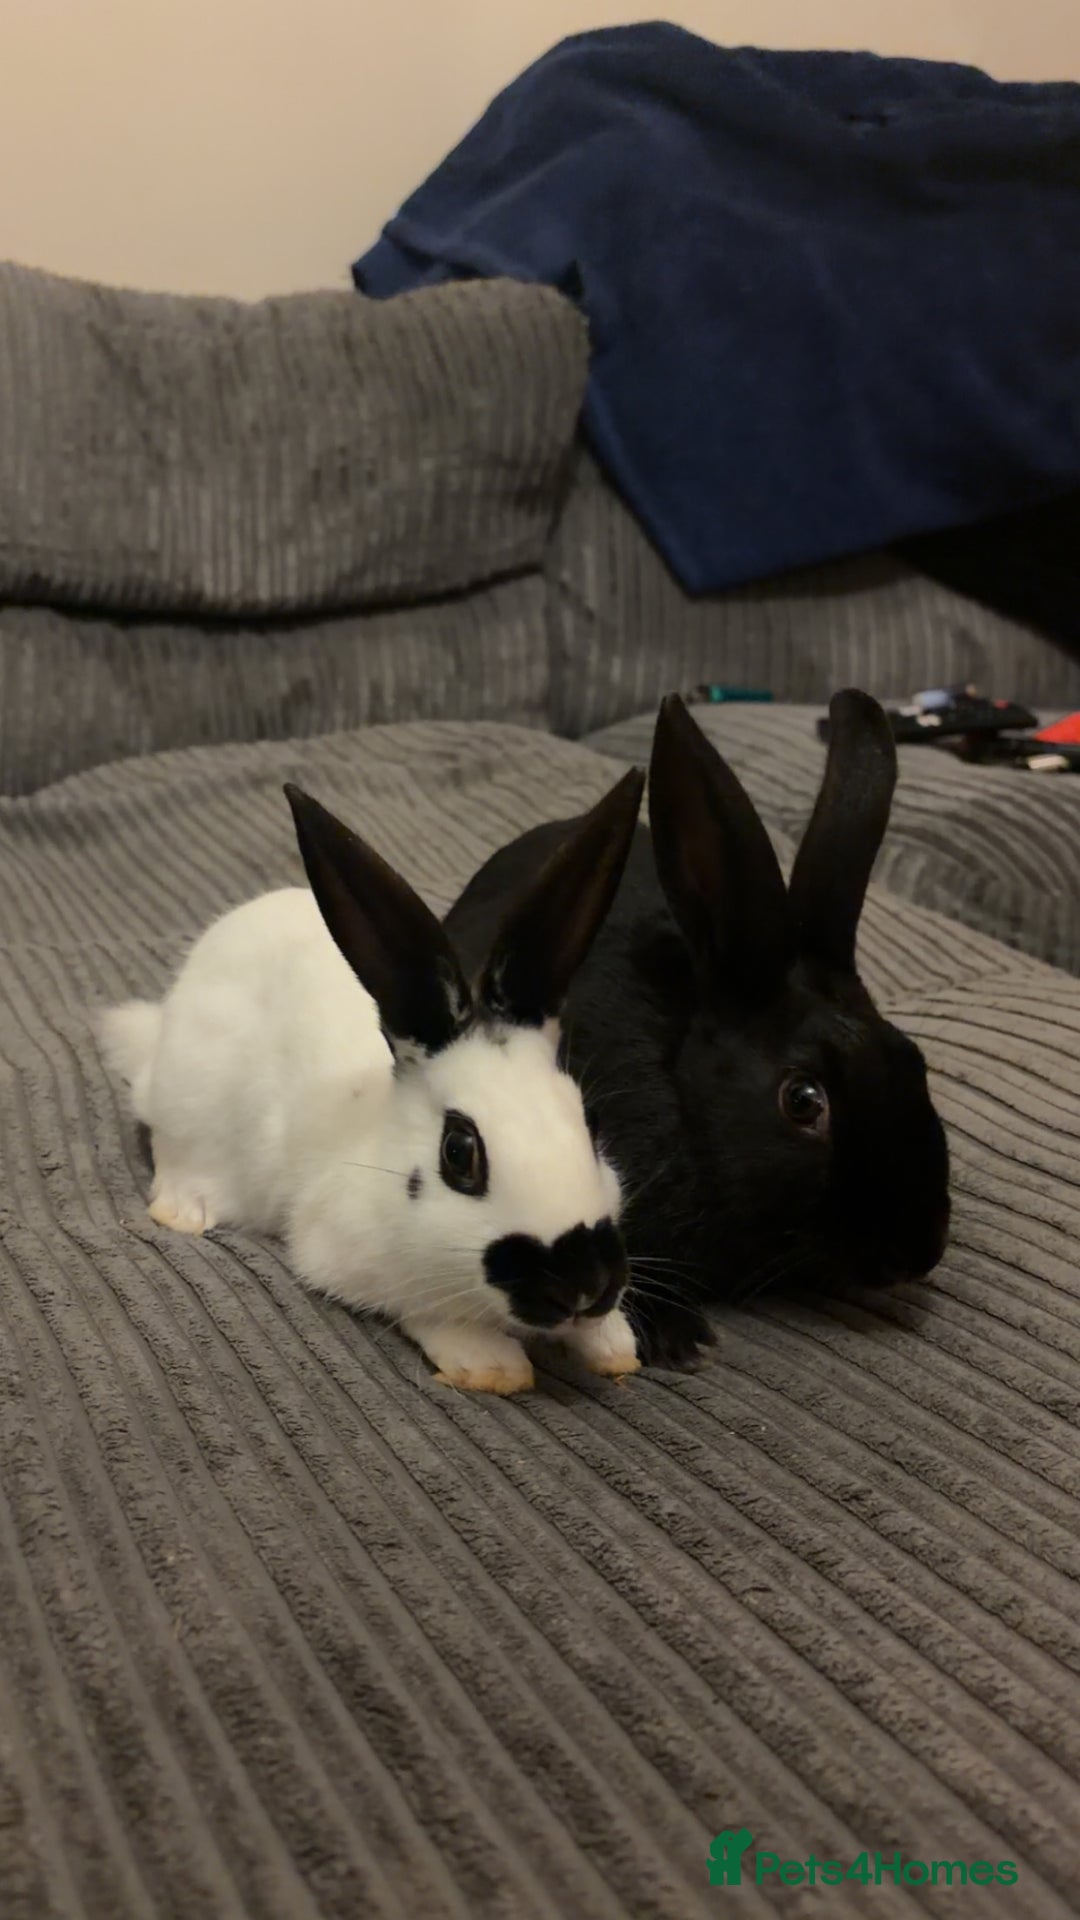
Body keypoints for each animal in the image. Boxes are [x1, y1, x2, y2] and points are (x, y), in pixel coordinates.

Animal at [100, 766, 647, 1395]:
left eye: (592, 1125)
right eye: (459, 1153)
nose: (584, 1282)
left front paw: (612, 1345)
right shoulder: (342, 1253)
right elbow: (424, 1309)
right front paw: (490, 1365)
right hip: (191, 1108)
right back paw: (185, 1210)